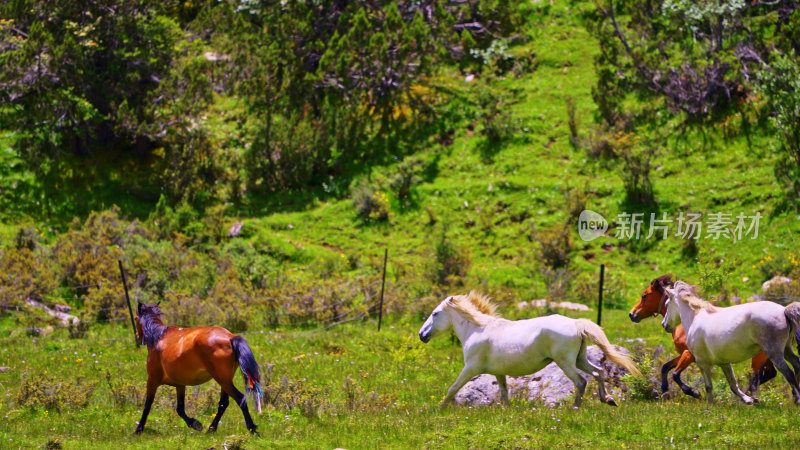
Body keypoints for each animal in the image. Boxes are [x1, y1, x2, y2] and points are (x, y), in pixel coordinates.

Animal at [134, 300, 262, 434]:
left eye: (135, 318)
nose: (137, 336)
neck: (158, 338)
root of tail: (230, 337)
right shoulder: (180, 384)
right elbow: (180, 409)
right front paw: (195, 423)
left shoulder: (152, 380)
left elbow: (147, 405)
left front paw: (138, 430)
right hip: (225, 380)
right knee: (223, 403)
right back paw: (211, 428)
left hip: (223, 380)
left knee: (240, 399)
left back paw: (252, 428)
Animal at [418, 292, 636, 408]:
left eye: (435, 313)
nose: (422, 334)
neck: (477, 330)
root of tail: (576, 323)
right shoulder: (498, 373)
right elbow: (504, 394)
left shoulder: (471, 368)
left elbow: (453, 388)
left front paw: (439, 409)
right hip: (580, 359)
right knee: (599, 372)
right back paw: (608, 399)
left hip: (565, 362)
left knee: (581, 381)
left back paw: (574, 408)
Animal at [632, 274, 776, 398]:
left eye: (644, 296)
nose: (632, 314)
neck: (689, 318)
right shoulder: (685, 353)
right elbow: (665, 367)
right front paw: (664, 390)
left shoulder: (690, 354)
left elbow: (675, 374)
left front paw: (693, 392)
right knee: (769, 374)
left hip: (758, 358)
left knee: (757, 378)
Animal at [664, 282, 800, 404]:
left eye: (667, 304)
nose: (664, 325)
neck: (695, 319)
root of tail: (783, 310)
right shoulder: (724, 363)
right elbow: (733, 384)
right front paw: (749, 400)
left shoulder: (702, 362)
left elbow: (709, 387)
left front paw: (708, 405)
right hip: (786, 349)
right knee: (796, 363)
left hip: (774, 353)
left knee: (788, 372)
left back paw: (797, 399)